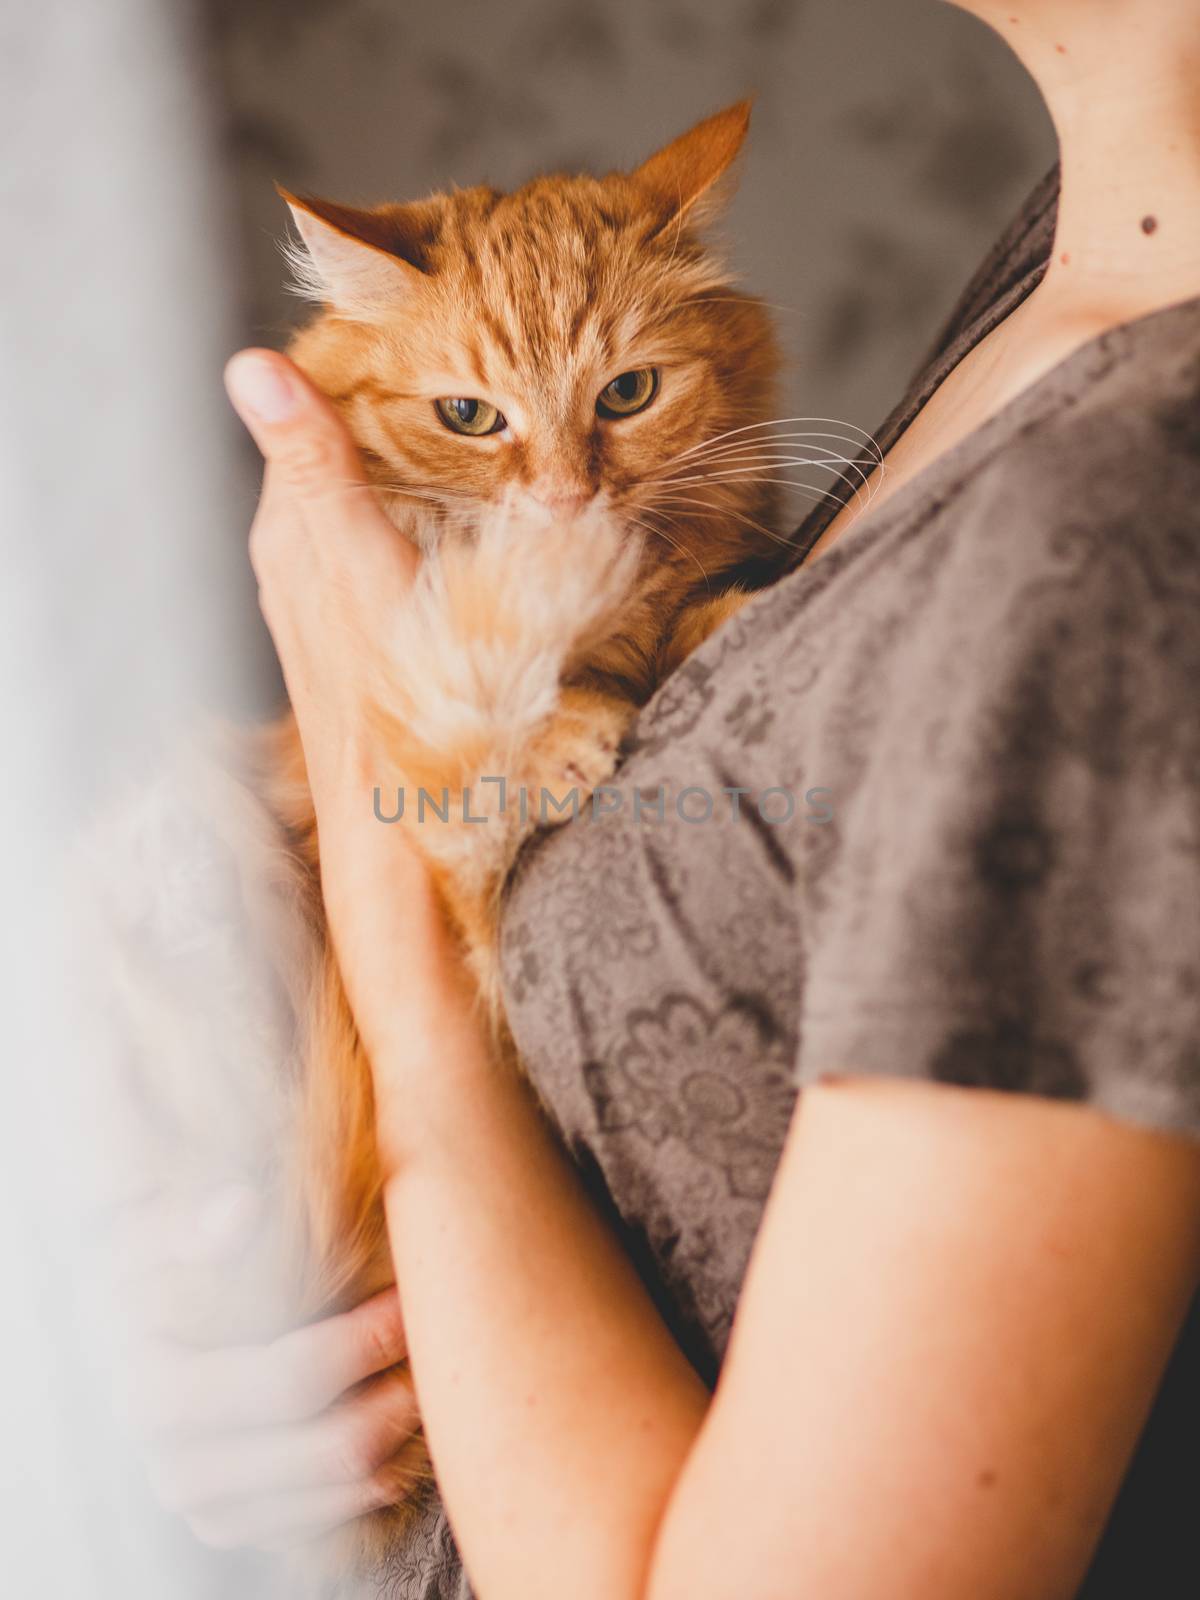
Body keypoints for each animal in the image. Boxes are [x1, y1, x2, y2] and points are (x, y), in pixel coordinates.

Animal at [249, 103, 790, 1574]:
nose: (559, 497)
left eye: (627, 395)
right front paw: (559, 728)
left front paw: (708, 627)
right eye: (468, 417)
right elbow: (473, 719)